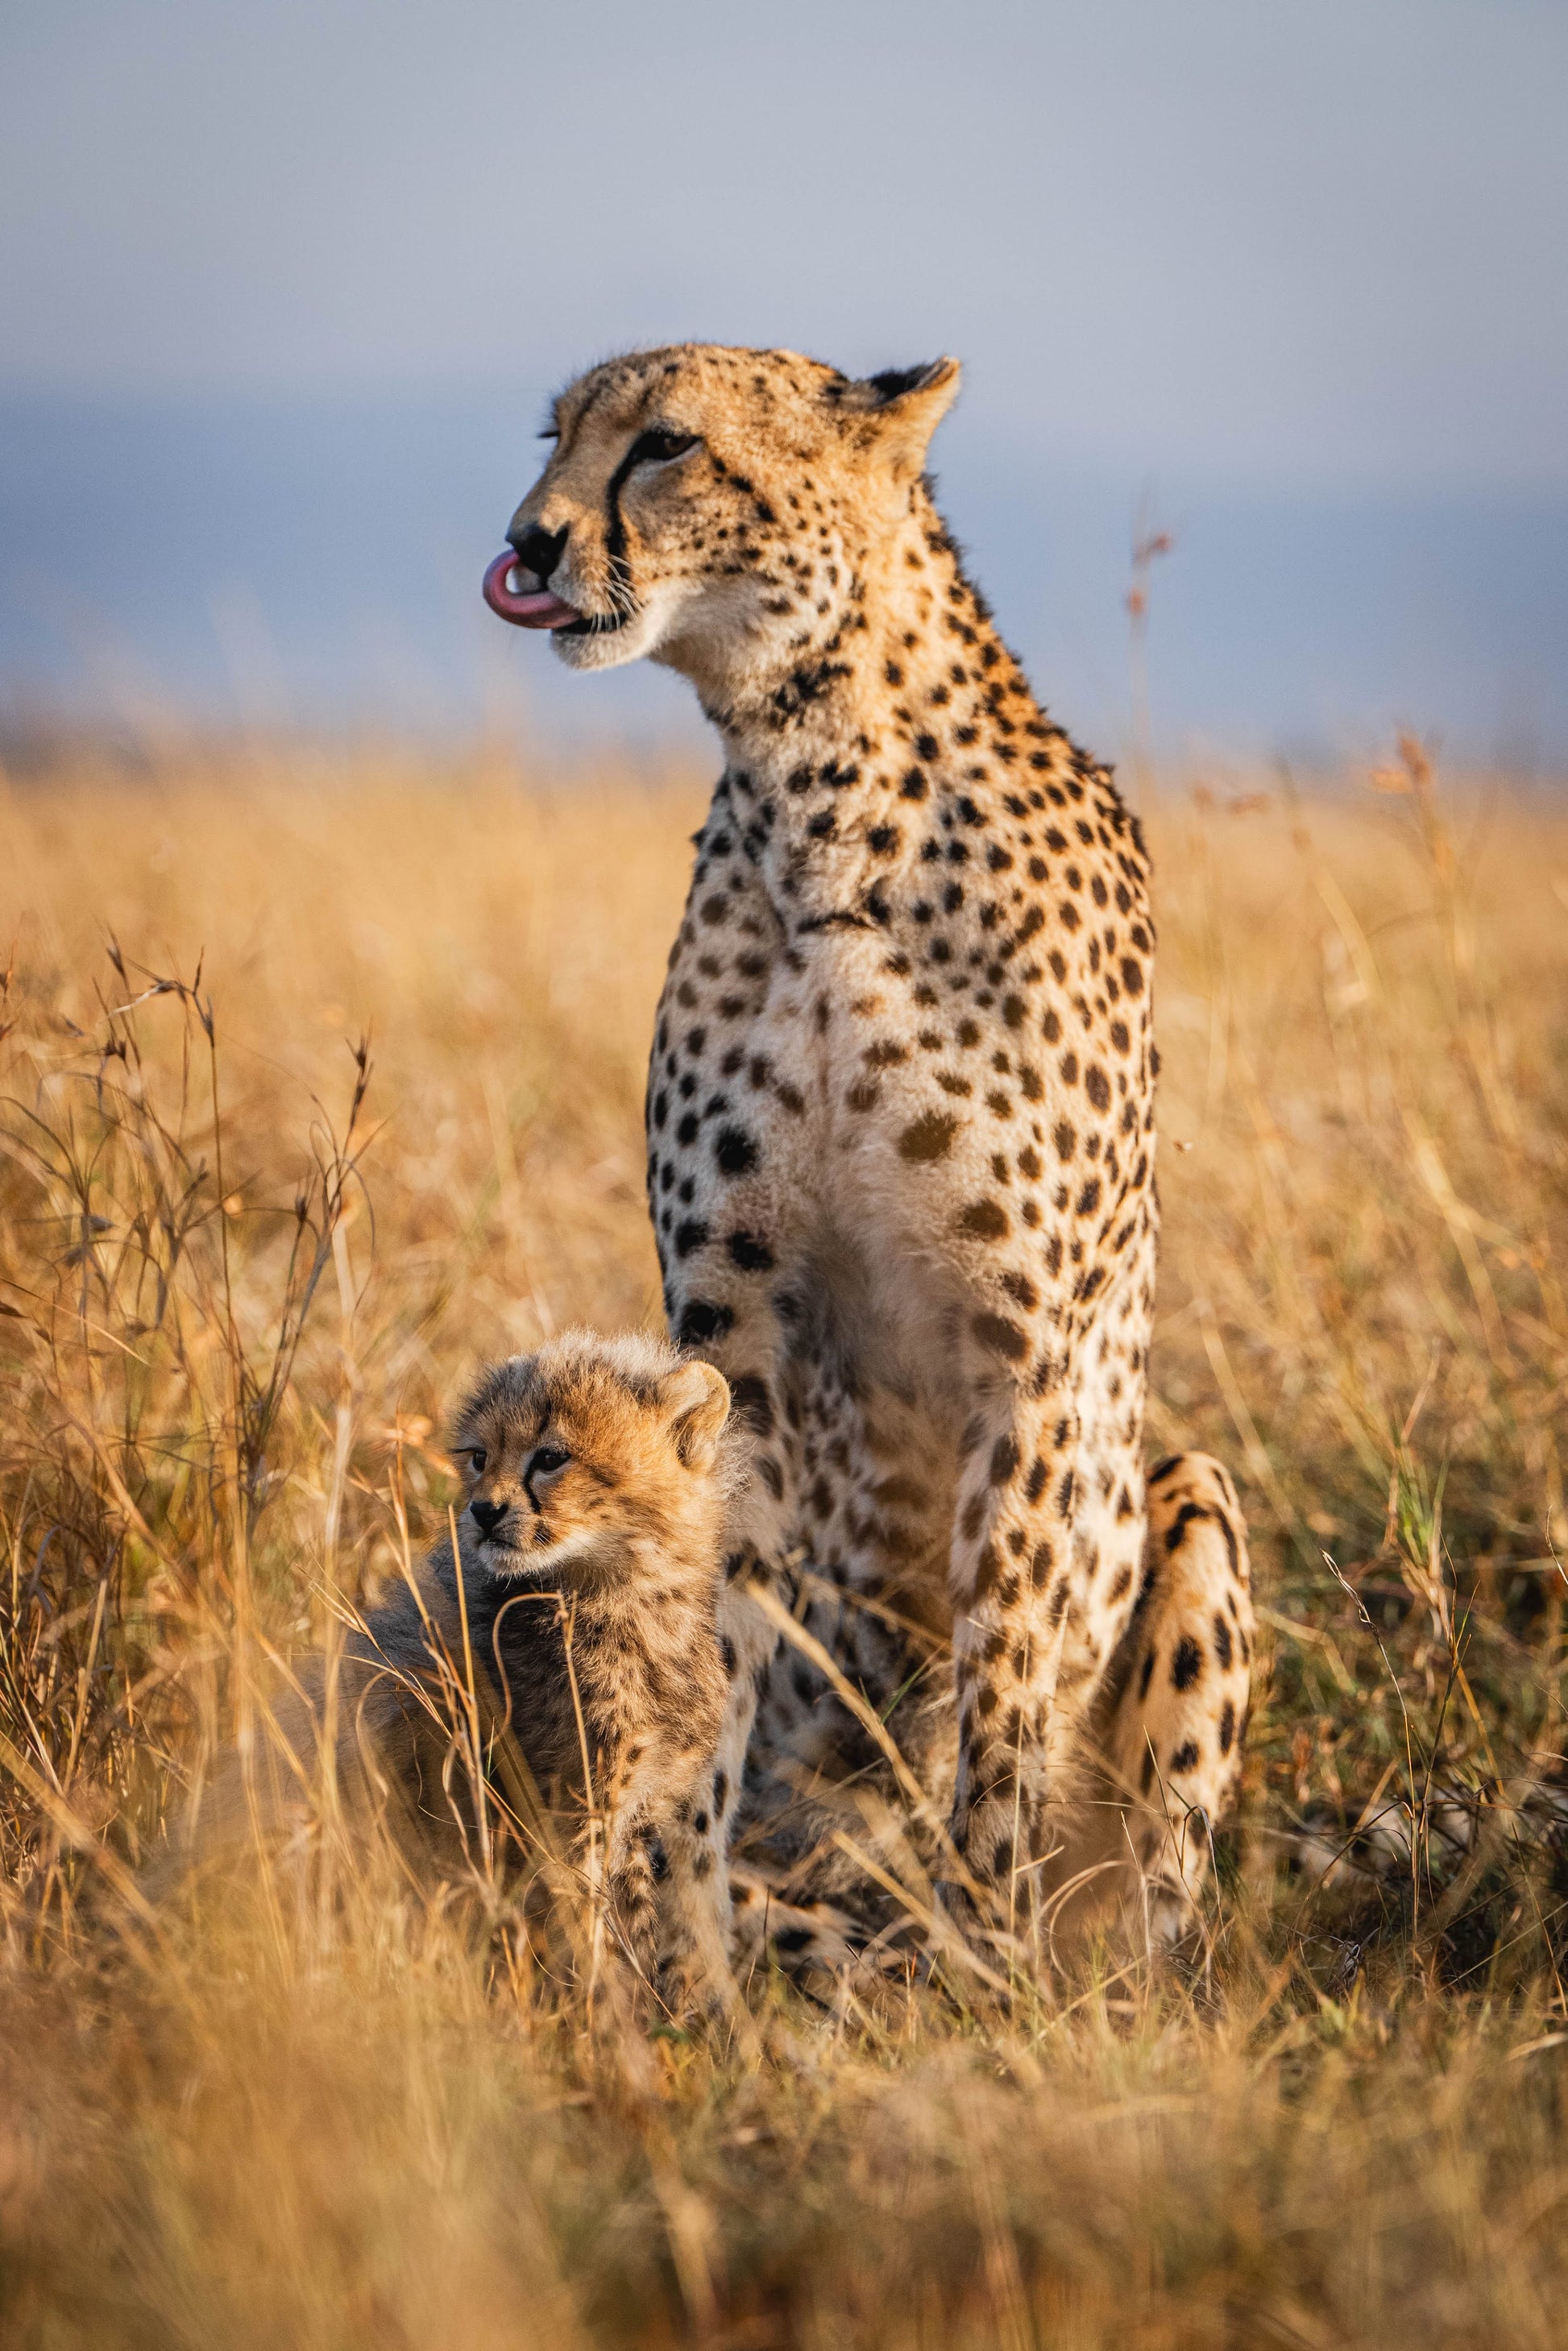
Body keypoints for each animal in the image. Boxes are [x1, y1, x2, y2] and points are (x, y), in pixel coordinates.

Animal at [485, 344, 1255, 1964]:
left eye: (664, 444)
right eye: (555, 434)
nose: (527, 543)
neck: (821, 795)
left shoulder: (1029, 1348)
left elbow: (1009, 1669)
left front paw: (985, 1952)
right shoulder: (734, 1323)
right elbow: (709, 1611)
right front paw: (681, 1933)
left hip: (1189, 1490)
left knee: (1142, 1896)